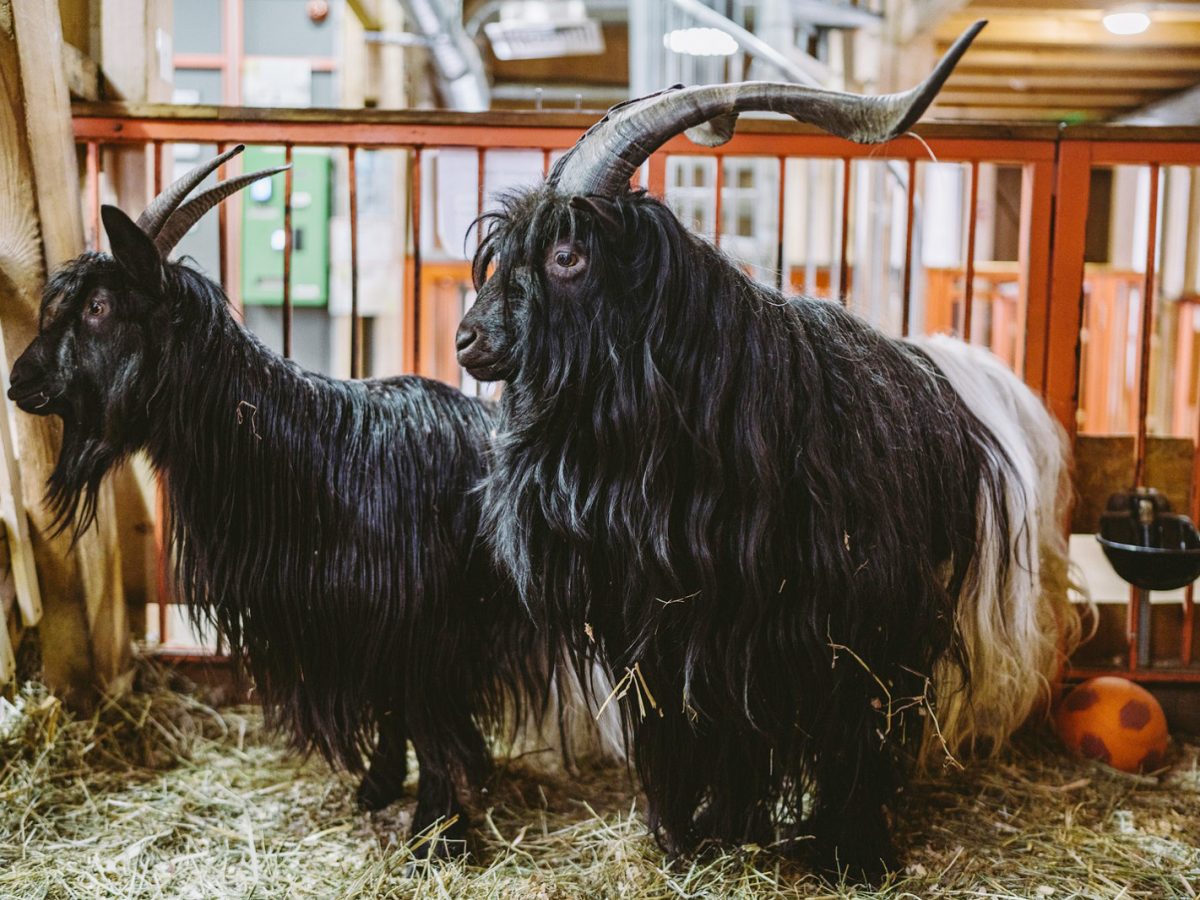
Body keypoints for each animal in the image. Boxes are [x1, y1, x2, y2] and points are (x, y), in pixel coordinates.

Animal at [4, 151, 547, 854]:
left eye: (98, 305)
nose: (20, 379)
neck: (300, 448)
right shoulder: (363, 625)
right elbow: (396, 708)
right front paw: (381, 789)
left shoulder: (422, 622)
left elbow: (426, 718)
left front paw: (435, 833)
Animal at [453, 22, 1084, 883]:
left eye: (567, 257)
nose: (468, 339)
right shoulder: (676, 637)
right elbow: (697, 734)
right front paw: (699, 839)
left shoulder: (847, 631)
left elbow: (849, 731)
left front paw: (850, 855)